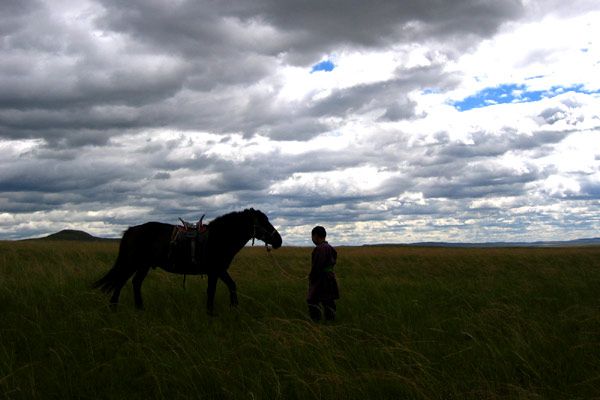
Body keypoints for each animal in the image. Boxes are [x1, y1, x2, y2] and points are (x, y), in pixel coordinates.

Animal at [92, 208, 282, 314]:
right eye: (262, 222)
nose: (278, 240)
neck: (219, 237)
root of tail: (131, 230)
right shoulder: (214, 271)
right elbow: (212, 291)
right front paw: (210, 313)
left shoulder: (220, 270)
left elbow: (232, 286)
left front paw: (234, 308)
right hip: (132, 263)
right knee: (120, 282)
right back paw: (114, 308)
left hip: (143, 265)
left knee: (135, 283)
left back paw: (140, 309)